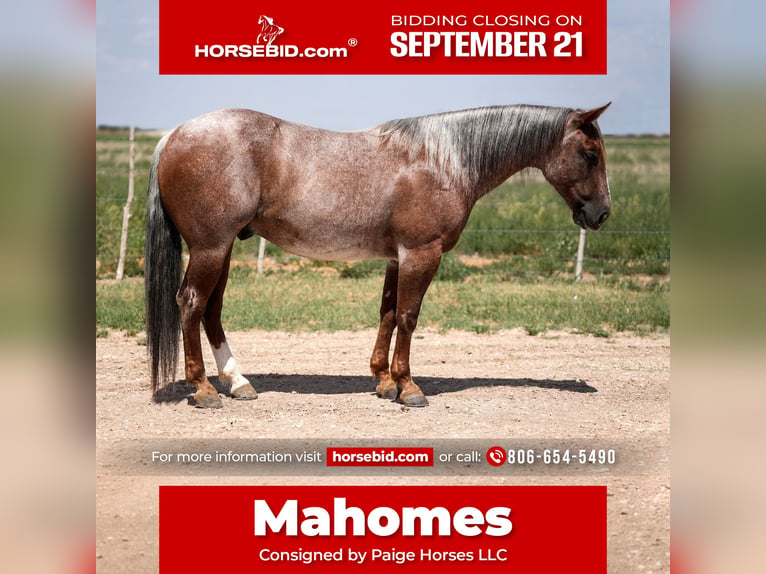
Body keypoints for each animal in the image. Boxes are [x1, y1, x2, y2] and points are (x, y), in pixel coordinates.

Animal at [145, 103, 611, 409]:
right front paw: (409, 387)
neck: (442, 159)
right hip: (211, 247)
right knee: (191, 303)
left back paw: (238, 382)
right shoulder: (422, 253)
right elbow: (409, 315)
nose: (602, 214)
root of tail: (174, 135)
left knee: (211, 310)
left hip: (221, 248)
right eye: (590, 155)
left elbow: (387, 313)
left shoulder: (396, 257)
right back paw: (204, 390)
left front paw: (384, 381)